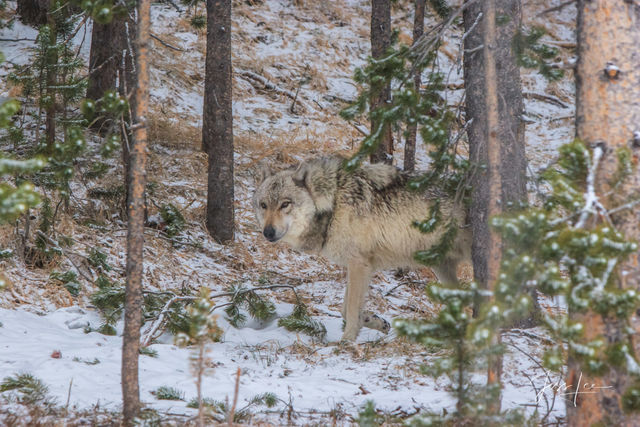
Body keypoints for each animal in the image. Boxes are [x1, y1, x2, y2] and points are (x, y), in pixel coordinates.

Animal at [252, 156, 472, 342]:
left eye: (285, 204)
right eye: (263, 205)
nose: (268, 232)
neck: (334, 203)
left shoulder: (359, 264)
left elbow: (350, 309)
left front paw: (347, 341)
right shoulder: (361, 265)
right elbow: (346, 309)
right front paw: (377, 322)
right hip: (441, 269)